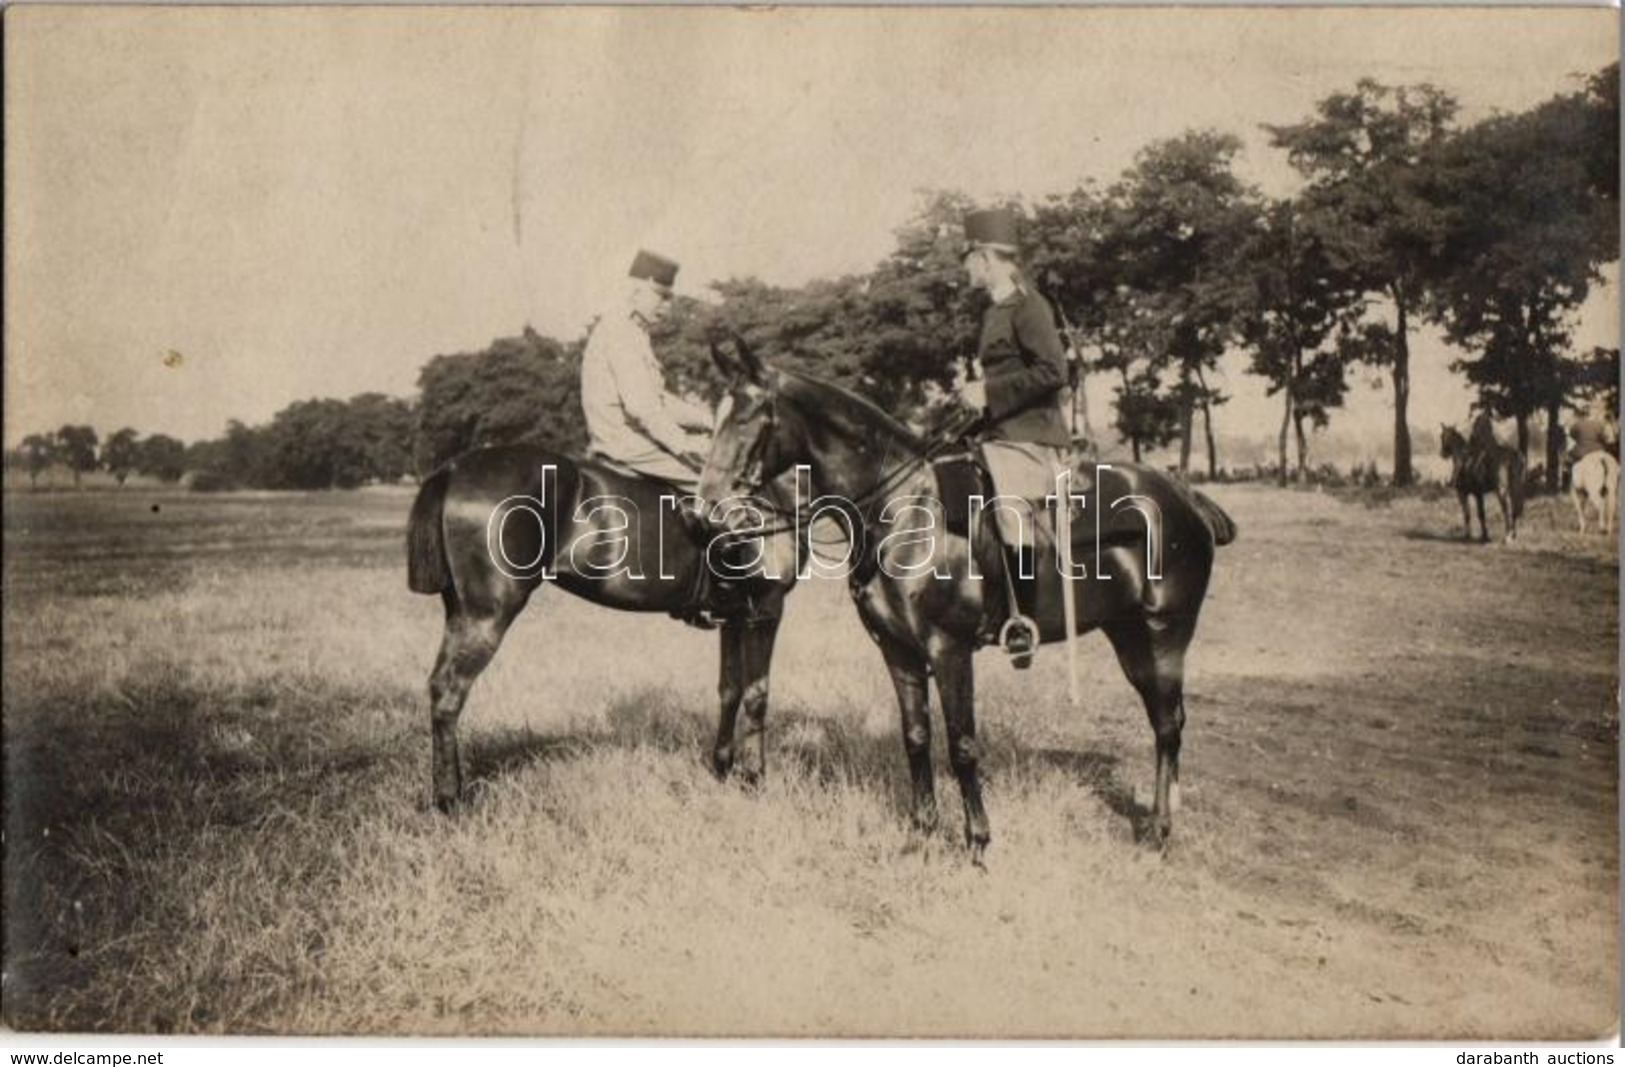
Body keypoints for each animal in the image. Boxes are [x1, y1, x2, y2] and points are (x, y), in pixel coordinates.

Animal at [399, 444, 793, 812]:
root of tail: (453, 467)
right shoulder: (766, 612)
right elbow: (757, 694)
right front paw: (754, 777)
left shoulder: (736, 618)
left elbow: (730, 689)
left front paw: (723, 767)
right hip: (487, 616)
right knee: (450, 691)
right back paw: (449, 799)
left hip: (460, 612)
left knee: (439, 688)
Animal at [692, 347, 1235, 857]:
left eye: (746, 418)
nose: (704, 511)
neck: (905, 511)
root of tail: (1184, 495)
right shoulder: (898, 650)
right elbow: (916, 737)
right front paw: (922, 832)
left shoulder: (948, 649)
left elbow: (962, 745)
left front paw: (977, 841)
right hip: (1128, 633)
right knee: (1162, 718)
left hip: (1166, 632)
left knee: (1168, 724)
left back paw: (1160, 830)